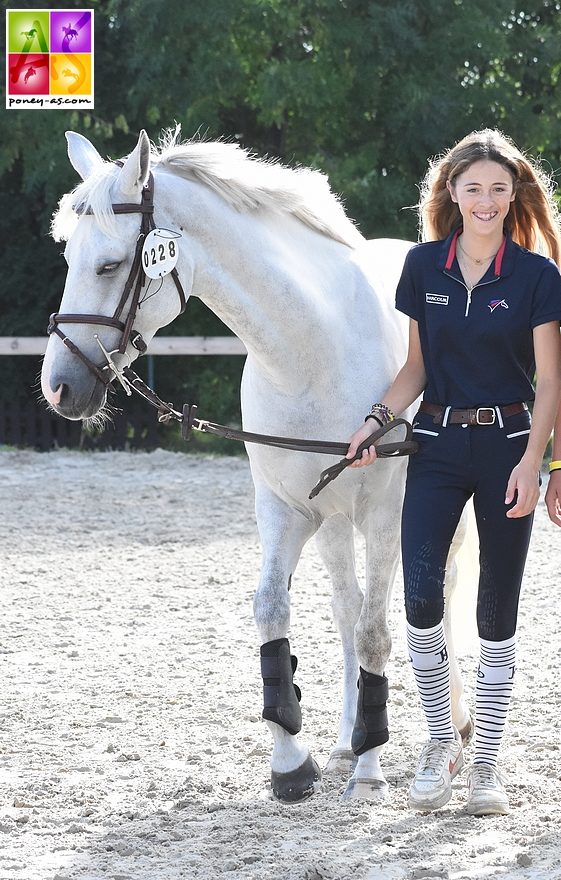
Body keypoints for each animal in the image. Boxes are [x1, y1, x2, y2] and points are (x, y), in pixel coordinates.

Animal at [39, 132, 470, 804]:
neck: (311, 351)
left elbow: (379, 630)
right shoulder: (286, 508)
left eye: (108, 265)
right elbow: (273, 610)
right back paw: (347, 738)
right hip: (333, 524)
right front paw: (294, 759)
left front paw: (371, 768)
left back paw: (450, 730)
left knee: (440, 598)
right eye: (67, 257)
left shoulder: (383, 514)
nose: (58, 387)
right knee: (347, 608)